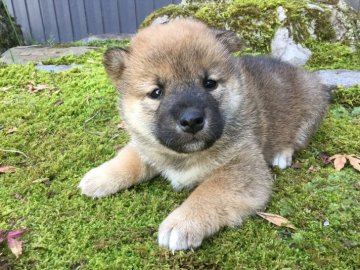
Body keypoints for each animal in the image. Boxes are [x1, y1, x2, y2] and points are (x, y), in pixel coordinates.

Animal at [79, 18, 330, 251]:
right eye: (156, 92)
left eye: (209, 83)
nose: (191, 120)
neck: (183, 157)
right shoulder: (148, 144)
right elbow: (129, 157)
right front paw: (99, 176)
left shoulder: (243, 167)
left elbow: (208, 192)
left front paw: (183, 222)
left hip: (309, 113)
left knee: (295, 140)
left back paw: (281, 155)